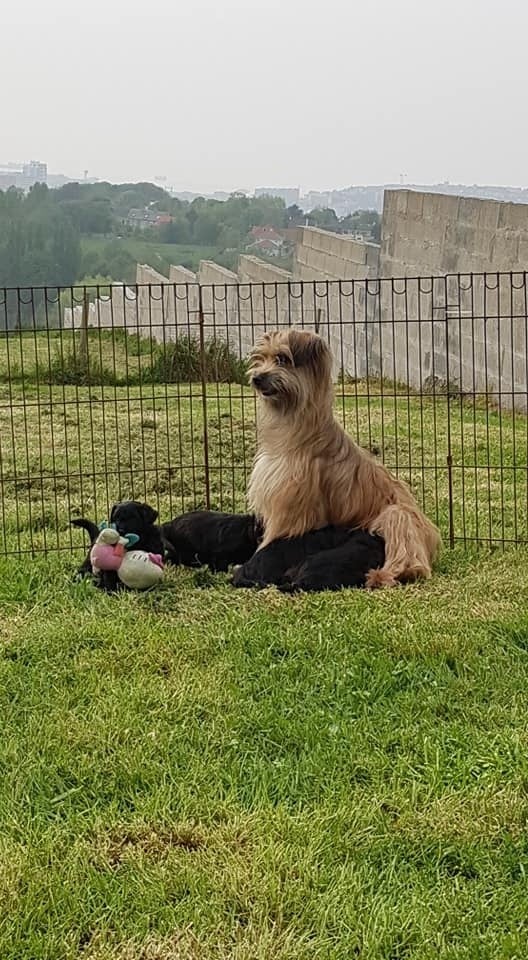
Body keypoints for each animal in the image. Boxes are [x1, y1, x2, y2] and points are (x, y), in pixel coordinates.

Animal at [248, 328, 442, 584]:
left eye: (281, 359)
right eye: (261, 358)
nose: (257, 378)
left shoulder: (290, 506)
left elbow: (274, 536)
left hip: (397, 514)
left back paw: (389, 574)